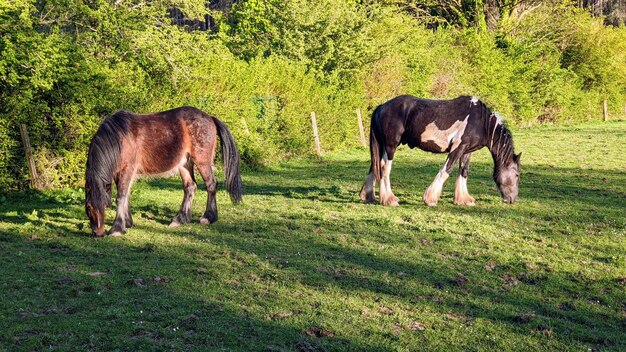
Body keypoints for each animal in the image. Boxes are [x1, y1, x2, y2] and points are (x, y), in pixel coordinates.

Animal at [83, 106, 239, 236]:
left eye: (104, 205)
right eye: (89, 207)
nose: (98, 233)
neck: (120, 137)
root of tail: (209, 118)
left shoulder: (127, 169)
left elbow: (121, 196)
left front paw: (117, 228)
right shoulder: (119, 173)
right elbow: (126, 195)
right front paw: (127, 222)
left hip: (202, 161)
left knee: (211, 184)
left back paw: (208, 217)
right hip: (185, 164)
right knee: (190, 187)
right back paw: (180, 219)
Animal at [358, 95, 520, 206]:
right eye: (517, 175)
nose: (512, 199)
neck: (481, 122)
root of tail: (382, 106)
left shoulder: (467, 151)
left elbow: (463, 172)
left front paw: (464, 199)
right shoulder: (457, 148)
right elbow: (445, 171)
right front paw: (430, 199)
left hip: (382, 145)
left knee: (375, 166)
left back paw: (368, 196)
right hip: (391, 146)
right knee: (385, 168)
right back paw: (389, 200)